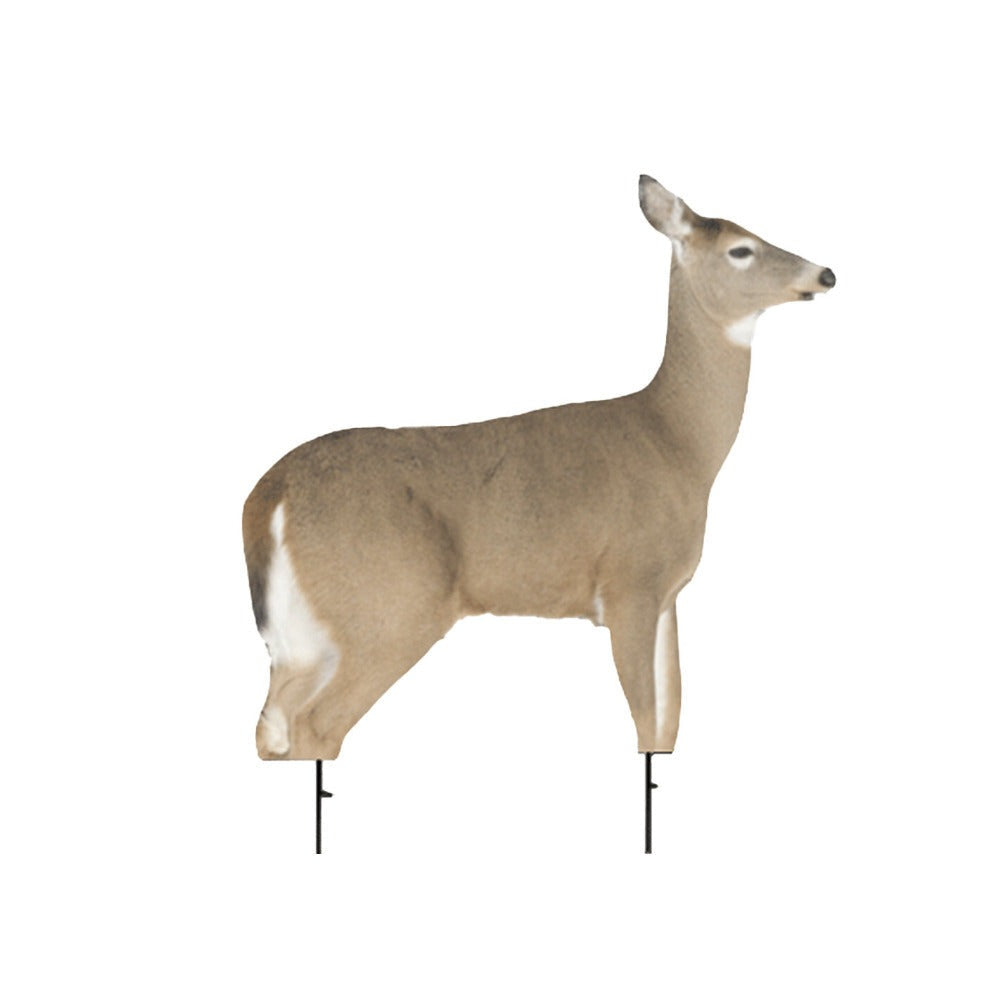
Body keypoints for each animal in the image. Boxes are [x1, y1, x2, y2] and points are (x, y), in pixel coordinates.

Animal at [242, 175, 835, 850]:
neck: (677, 443)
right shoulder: (630, 583)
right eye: (741, 249)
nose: (825, 273)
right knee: (317, 726)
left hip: (303, 636)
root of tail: (269, 493)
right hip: (392, 606)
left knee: (272, 726)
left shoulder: (668, 594)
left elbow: (673, 715)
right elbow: (647, 718)